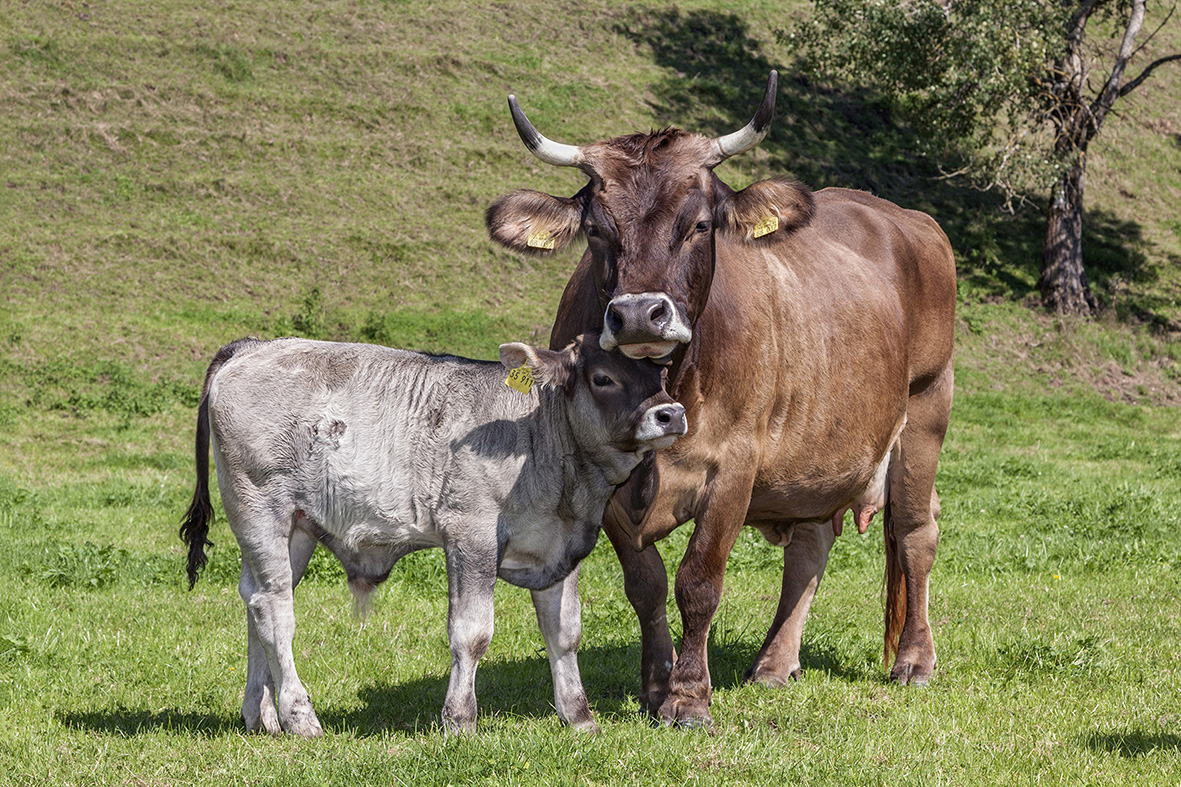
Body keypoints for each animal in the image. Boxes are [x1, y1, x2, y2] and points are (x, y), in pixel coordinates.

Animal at [484, 72, 954, 723]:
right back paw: (774, 664)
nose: (639, 314)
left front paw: (688, 697)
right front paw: (656, 687)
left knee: (914, 533)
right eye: (597, 230)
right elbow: (647, 584)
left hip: (927, 408)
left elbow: (698, 581)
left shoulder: (734, 465)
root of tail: (900, 215)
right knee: (810, 547)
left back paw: (914, 660)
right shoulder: (601, 477)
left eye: (700, 225)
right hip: (816, 456)